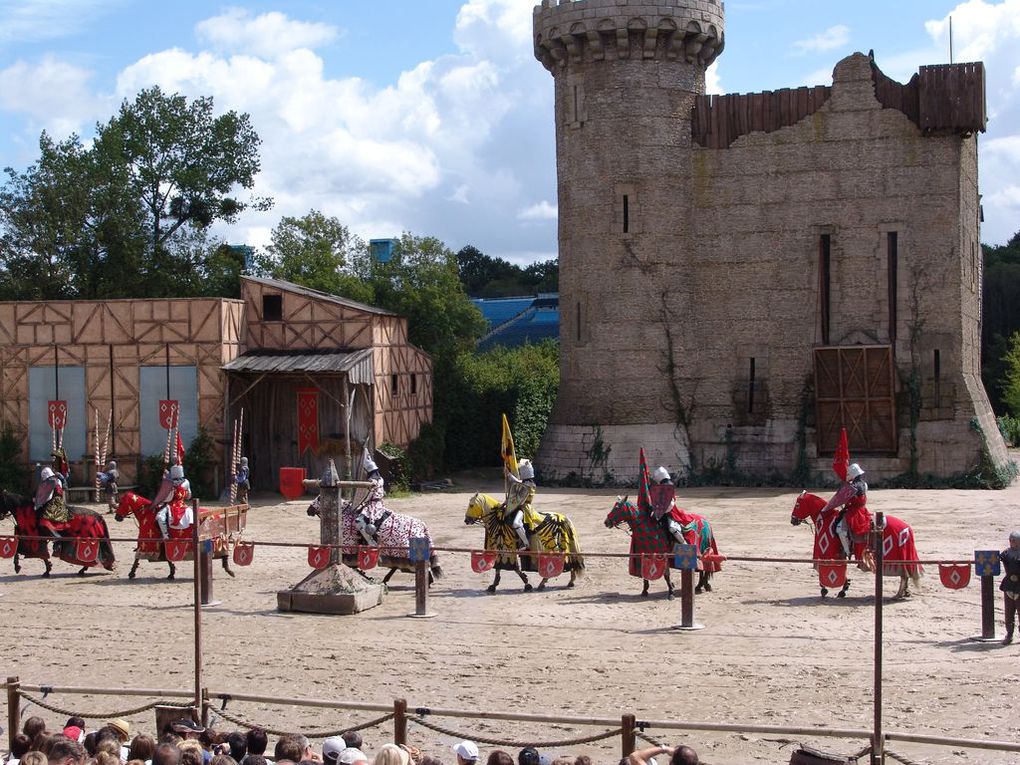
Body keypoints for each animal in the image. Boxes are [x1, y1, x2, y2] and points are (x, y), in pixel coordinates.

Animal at [306, 497, 442, 587]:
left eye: (319, 498)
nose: (309, 510)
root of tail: (423, 527)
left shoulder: (348, 548)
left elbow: (350, 564)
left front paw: (363, 575)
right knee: (397, 566)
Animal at [787, 493, 926, 603]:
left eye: (797, 505)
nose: (793, 520)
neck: (826, 519)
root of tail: (907, 528)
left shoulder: (829, 554)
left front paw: (829, 589)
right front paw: (843, 587)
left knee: (904, 575)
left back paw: (898, 594)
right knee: (905, 575)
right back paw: (903, 593)